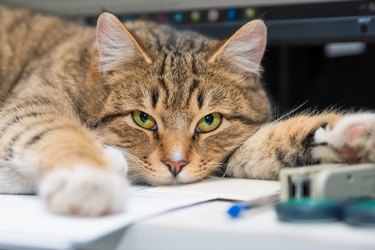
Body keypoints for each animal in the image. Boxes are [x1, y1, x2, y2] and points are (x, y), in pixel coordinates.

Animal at [0, 4, 375, 217]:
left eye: (209, 121)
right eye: (143, 118)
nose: (176, 165)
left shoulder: (232, 151)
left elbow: (269, 142)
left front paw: (351, 136)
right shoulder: (27, 107)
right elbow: (54, 131)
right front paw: (89, 177)